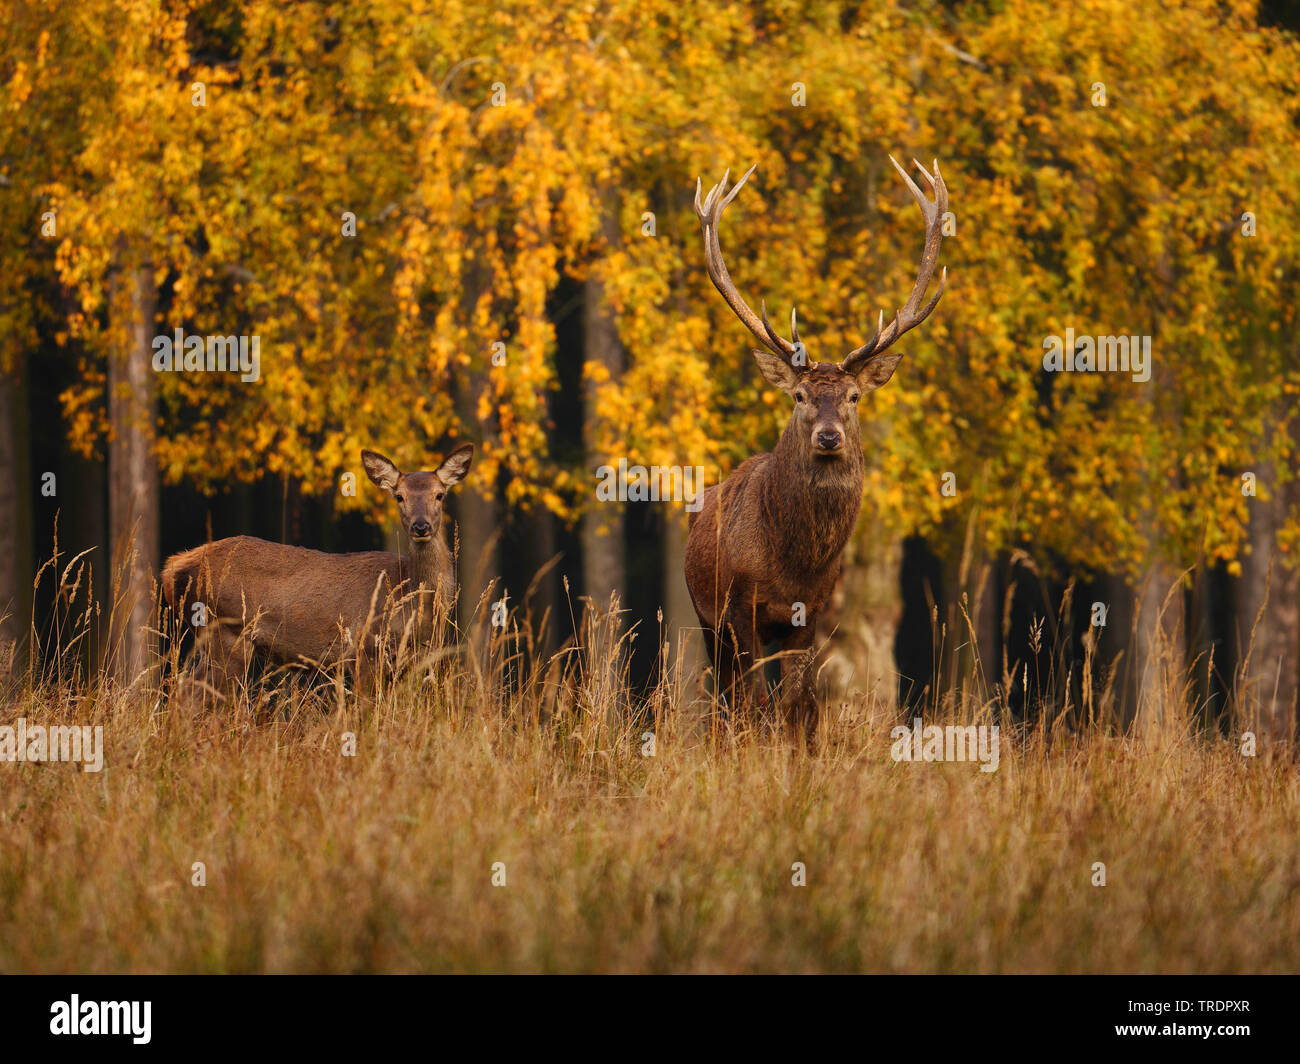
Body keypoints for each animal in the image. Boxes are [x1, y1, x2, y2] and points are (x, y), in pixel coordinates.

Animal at [161, 444, 474, 703]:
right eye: (399, 496)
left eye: (439, 495)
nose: (421, 526)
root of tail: (171, 568)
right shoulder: (364, 648)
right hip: (226, 632)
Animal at [684, 156, 949, 741]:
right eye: (801, 395)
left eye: (853, 396)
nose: (828, 435)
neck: (794, 562)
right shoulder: (740, 608)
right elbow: (757, 707)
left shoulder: (812, 615)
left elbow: (799, 710)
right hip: (705, 618)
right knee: (726, 701)